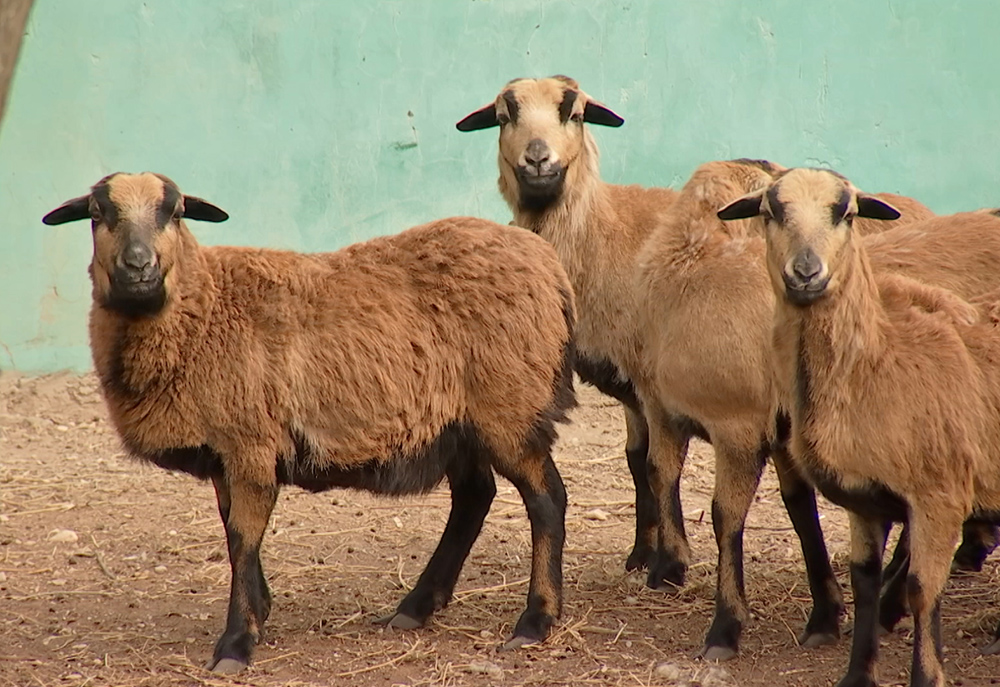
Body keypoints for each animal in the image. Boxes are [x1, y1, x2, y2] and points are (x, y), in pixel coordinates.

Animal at [43, 172, 580, 672]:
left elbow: (244, 537)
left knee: (546, 499)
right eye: (97, 213)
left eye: (174, 213)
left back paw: (534, 621)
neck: (207, 307)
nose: (139, 267)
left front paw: (236, 642)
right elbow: (232, 534)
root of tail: (547, 262)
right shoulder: (223, 453)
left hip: (510, 405)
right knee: (473, 498)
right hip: (458, 424)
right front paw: (258, 610)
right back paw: (414, 608)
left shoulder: (250, 443)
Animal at [458, 74, 684, 576]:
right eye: (503, 116)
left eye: (575, 114)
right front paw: (641, 555)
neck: (603, 232)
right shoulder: (631, 388)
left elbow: (662, 469)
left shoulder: (656, 384)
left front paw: (669, 568)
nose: (538, 158)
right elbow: (636, 463)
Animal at [724, 165, 1000, 687]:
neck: (875, 364)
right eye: (771, 212)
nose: (806, 272)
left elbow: (922, 588)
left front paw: (927, 676)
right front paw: (857, 674)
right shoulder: (864, 501)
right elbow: (864, 582)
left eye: (846, 213)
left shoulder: (938, 496)